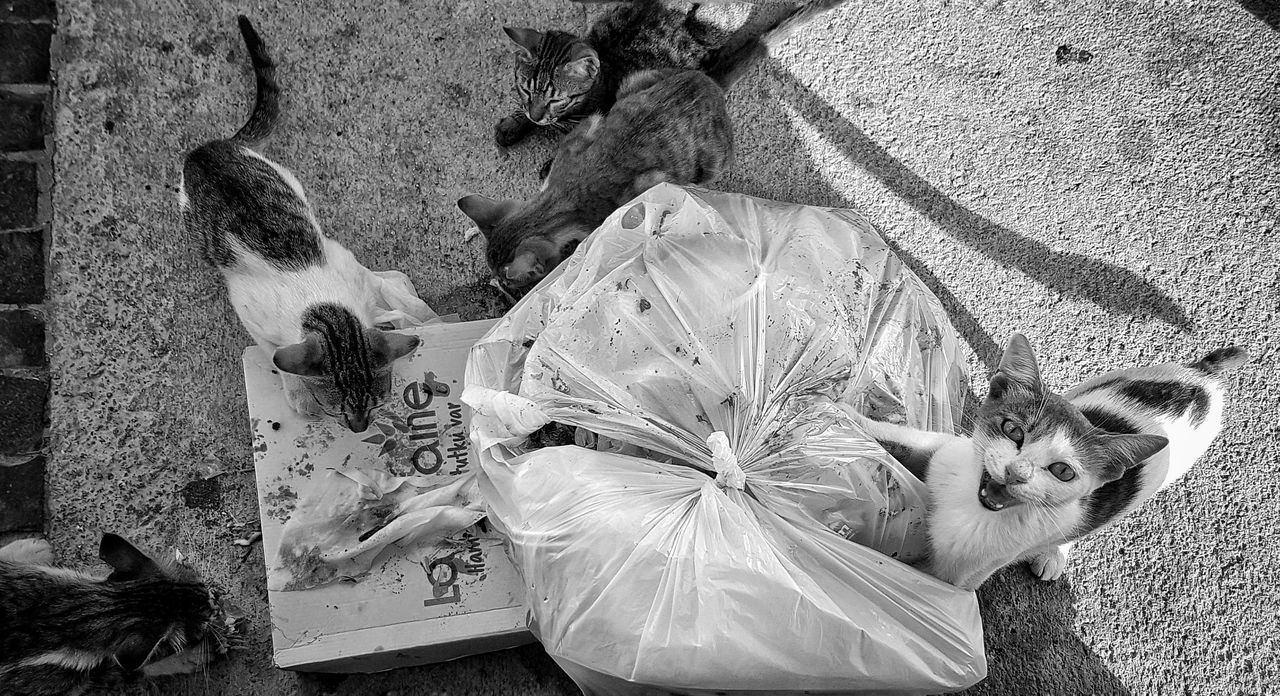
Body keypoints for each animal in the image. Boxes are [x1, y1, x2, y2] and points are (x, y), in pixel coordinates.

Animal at [179, 16, 419, 432]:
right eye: (336, 411)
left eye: (378, 402)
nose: (360, 428)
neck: (321, 301)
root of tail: (208, 148)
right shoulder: (250, 312)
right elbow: (276, 355)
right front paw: (297, 391)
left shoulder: (344, 260)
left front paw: (394, 313)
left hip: (287, 179)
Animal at [855, 335, 1244, 591]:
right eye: (1012, 430)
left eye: (1062, 471)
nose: (1017, 472)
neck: (967, 504)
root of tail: (1203, 376)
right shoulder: (947, 452)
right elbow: (907, 438)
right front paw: (849, 418)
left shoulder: (962, 575)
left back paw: (1054, 553)